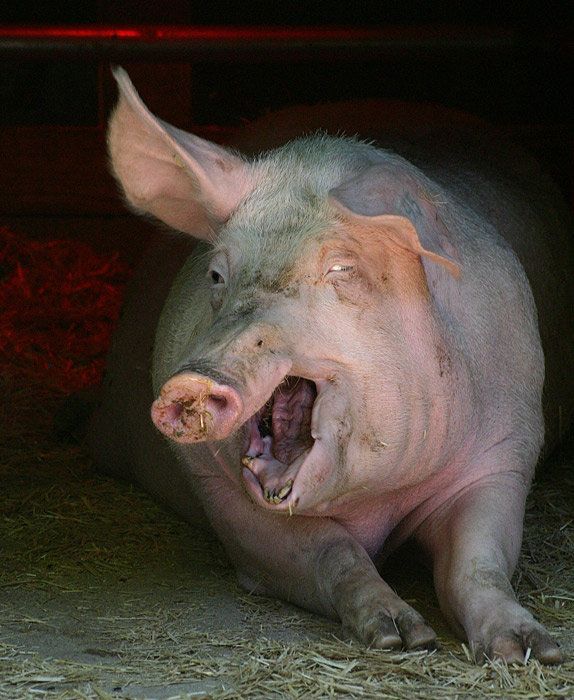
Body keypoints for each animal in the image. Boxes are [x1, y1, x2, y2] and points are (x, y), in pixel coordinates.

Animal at [88, 67, 573, 664]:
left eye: (341, 269)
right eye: (217, 275)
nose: (195, 379)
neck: (377, 502)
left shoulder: (504, 452)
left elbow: (476, 562)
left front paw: (529, 651)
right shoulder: (215, 487)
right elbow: (332, 552)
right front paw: (401, 637)